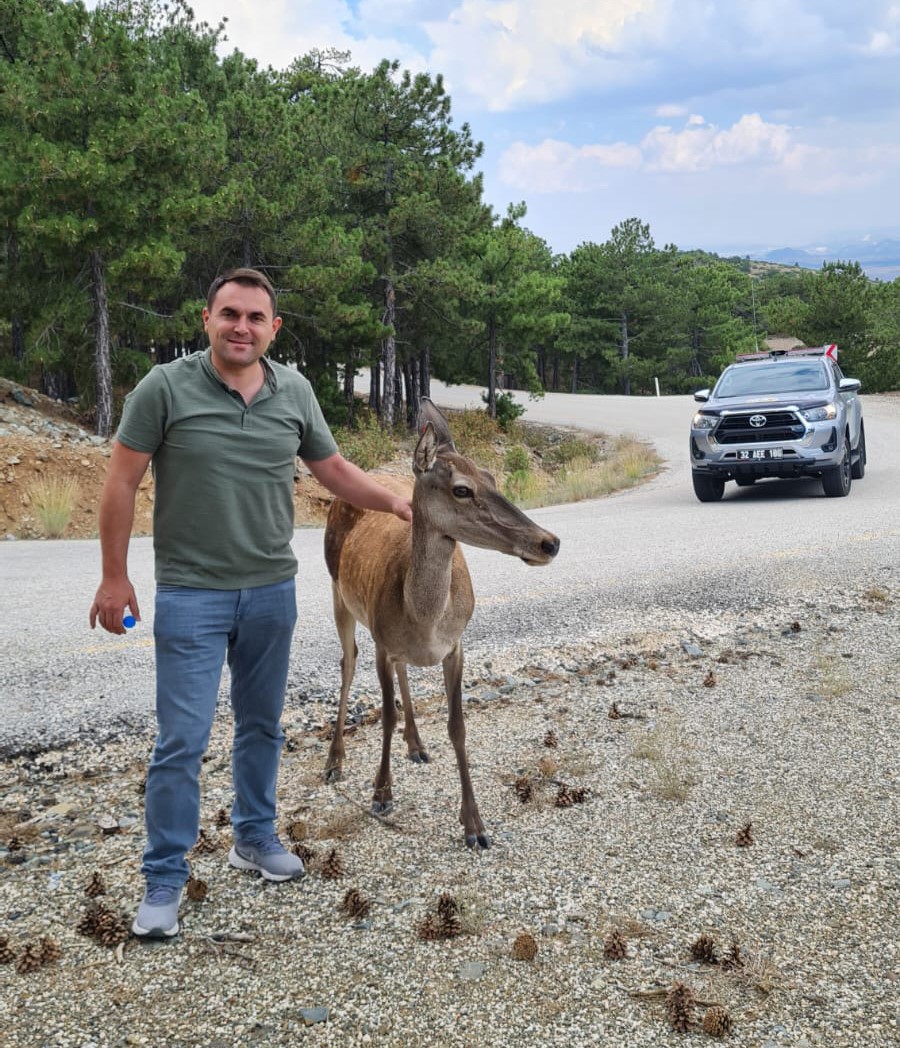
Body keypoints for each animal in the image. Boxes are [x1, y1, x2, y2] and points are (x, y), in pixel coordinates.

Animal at [324, 396, 561, 846]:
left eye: (491, 476)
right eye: (462, 489)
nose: (549, 542)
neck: (424, 618)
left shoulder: (456, 646)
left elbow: (457, 726)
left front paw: (475, 824)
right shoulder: (383, 641)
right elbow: (386, 715)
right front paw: (381, 793)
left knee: (398, 670)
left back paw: (416, 744)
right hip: (339, 592)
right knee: (347, 663)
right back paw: (334, 762)